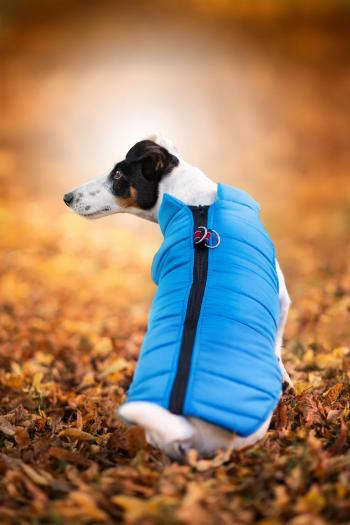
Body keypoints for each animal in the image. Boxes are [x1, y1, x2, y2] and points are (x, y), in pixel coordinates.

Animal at [63, 135, 292, 458]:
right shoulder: (282, 298)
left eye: (118, 174)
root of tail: (185, 422)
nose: (67, 197)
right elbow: (278, 347)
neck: (197, 205)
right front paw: (286, 379)